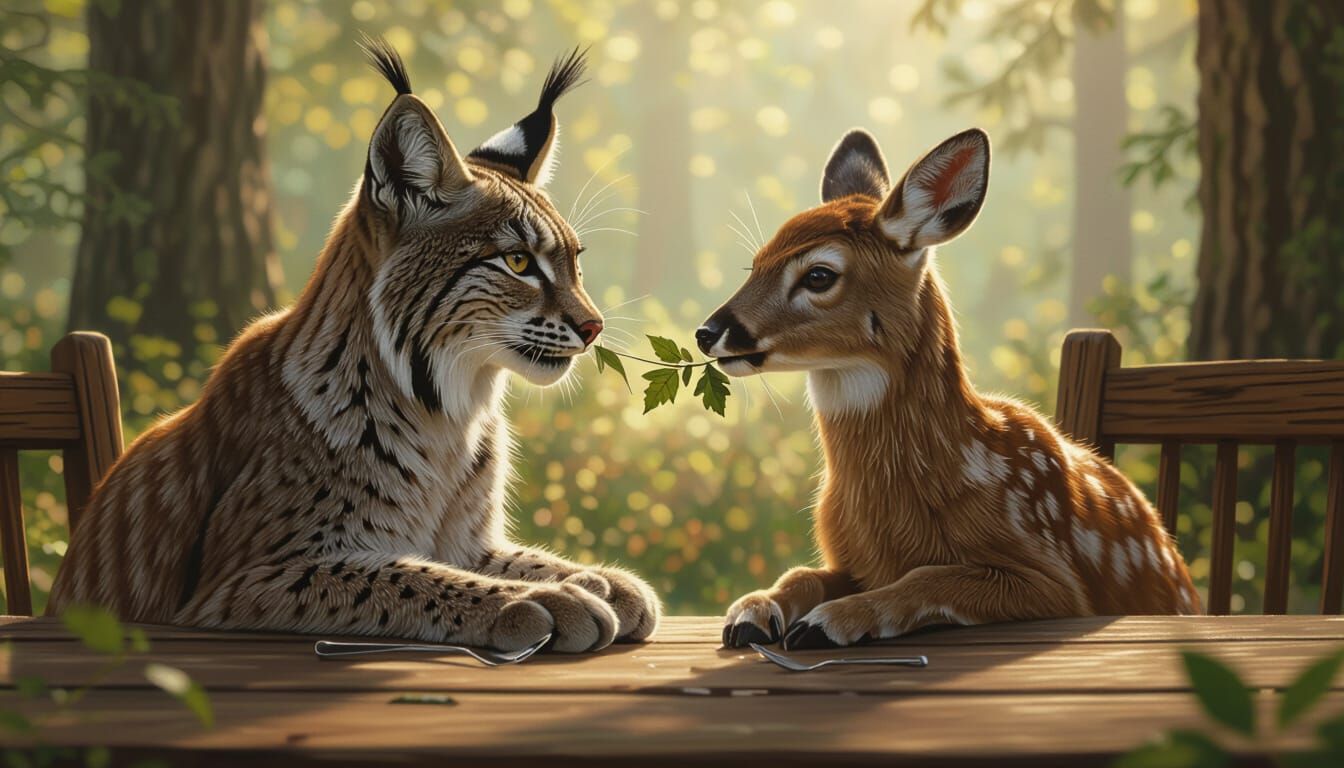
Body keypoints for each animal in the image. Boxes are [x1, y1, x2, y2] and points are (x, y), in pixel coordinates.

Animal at [697, 128, 1200, 650]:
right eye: (755, 264)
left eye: (818, 274)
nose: (707, 332)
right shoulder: (851, 560)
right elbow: (801, 574)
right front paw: (751, 610)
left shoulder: (1054, 579)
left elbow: (929, 578)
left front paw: (830, 620)